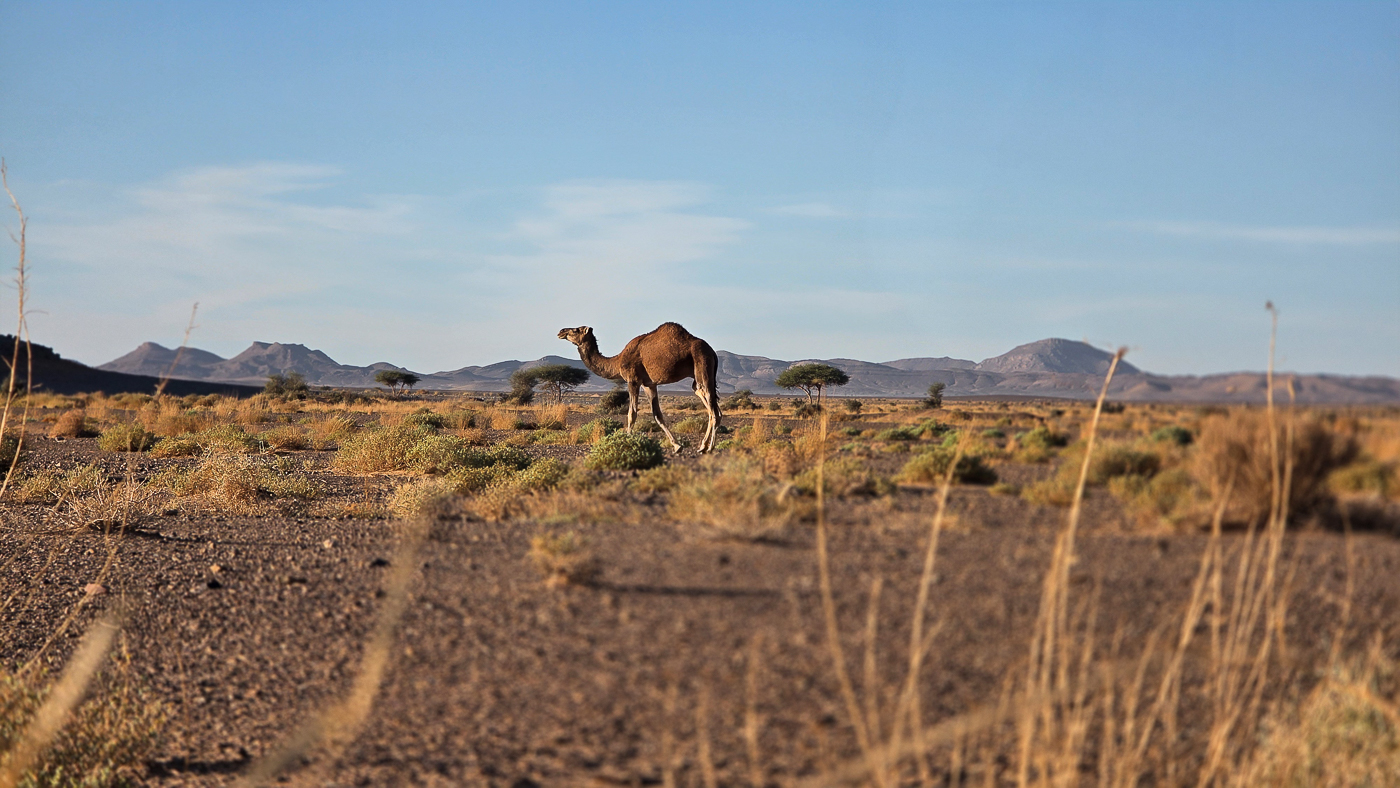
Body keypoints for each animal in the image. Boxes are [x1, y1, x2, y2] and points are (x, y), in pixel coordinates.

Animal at [557, 322, 722, 453]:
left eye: (576, 330)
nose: (561, 331)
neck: (617, 361)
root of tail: (712, 352)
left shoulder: (633, 380)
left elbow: (632, 413)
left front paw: (625, 443)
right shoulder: (649, 384)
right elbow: (657, 415)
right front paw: (677, 446)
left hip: (702, 363)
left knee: (713, 408)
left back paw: (710, 448)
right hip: (698, 375)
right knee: (709, 403)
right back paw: (702, 446)